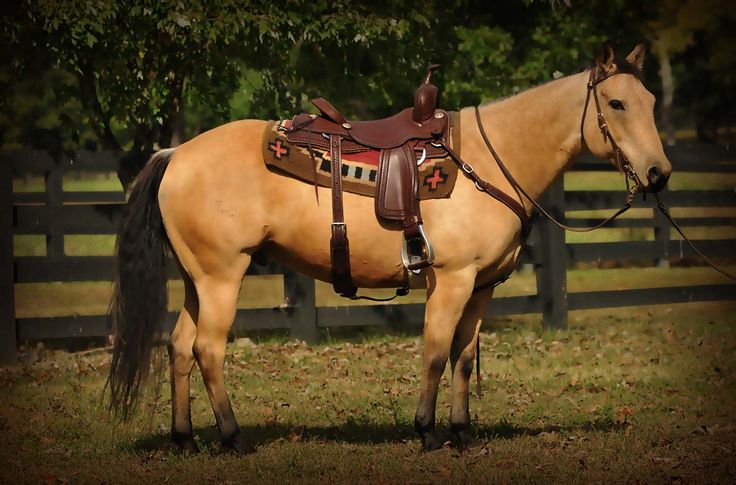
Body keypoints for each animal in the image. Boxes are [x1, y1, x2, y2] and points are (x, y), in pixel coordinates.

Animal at [108, 42, 672, 454]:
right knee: (207, 349)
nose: (658, 173)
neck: (493, 160)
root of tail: (176, 152)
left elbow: (463, 357)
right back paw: (233, 437)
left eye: (651, 103)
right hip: (223, 277)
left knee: (179, 346)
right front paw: (426, 431)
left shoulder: (482, 287)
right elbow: (436, 352)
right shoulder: (452, 280)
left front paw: (461, 432)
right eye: (616, 104)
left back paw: (184, 439)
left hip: (196, 280)